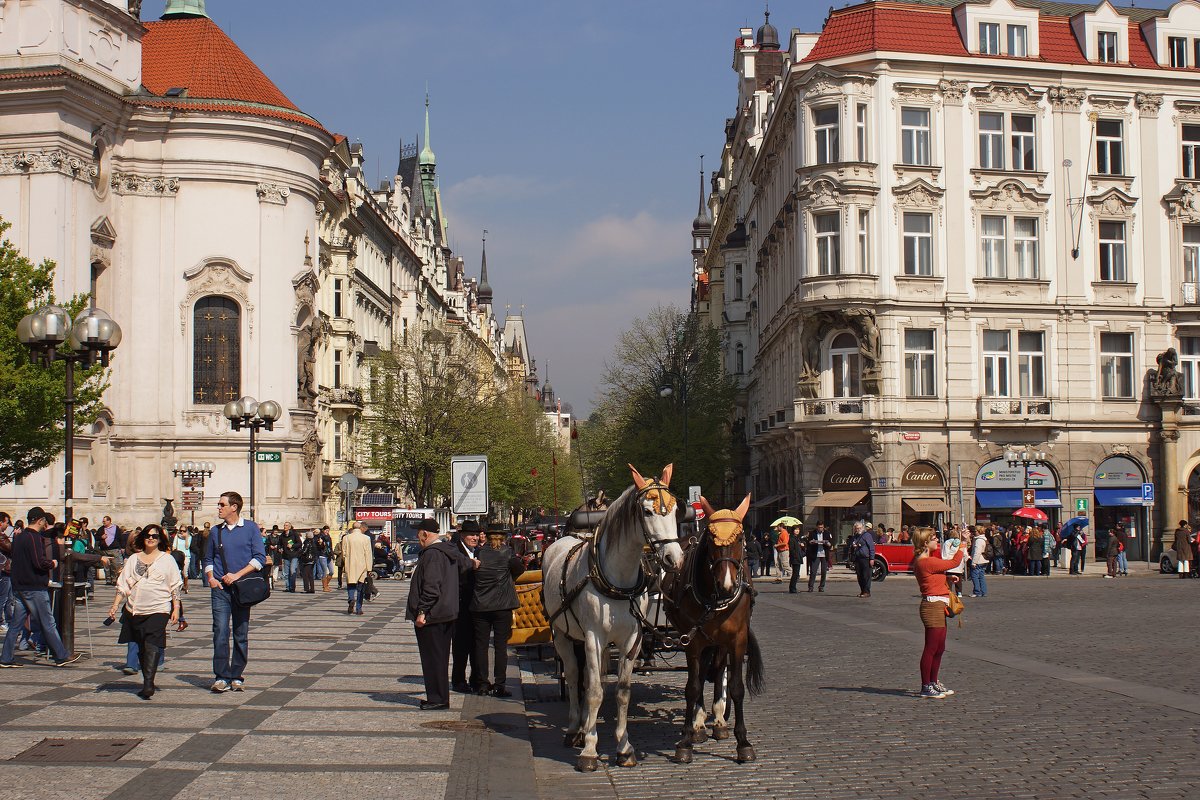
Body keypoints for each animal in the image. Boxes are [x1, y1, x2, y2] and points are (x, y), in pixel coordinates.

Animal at [544, 465, 686, 772]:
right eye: (647, 512)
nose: (674, 558)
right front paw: (589, 751)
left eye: (675, 510)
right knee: (573, 676)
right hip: (562, 634)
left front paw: (623, 747)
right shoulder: (594, 638)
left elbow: (621, 691)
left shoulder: (632, 639)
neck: (617, 578)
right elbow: (594, 691)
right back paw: (575, 729)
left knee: (590, 677)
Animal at [662, 494, 763, 762]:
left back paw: (718, 721)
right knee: (701, 674)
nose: (726, 584)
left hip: (719, 642)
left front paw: (743, 742)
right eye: (710, 538)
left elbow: (736, 687)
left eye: (740, 538)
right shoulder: (691, 640)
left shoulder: (737, 640)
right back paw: (698, 725)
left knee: (718, 670)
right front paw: (686, 740)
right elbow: (693, 686)